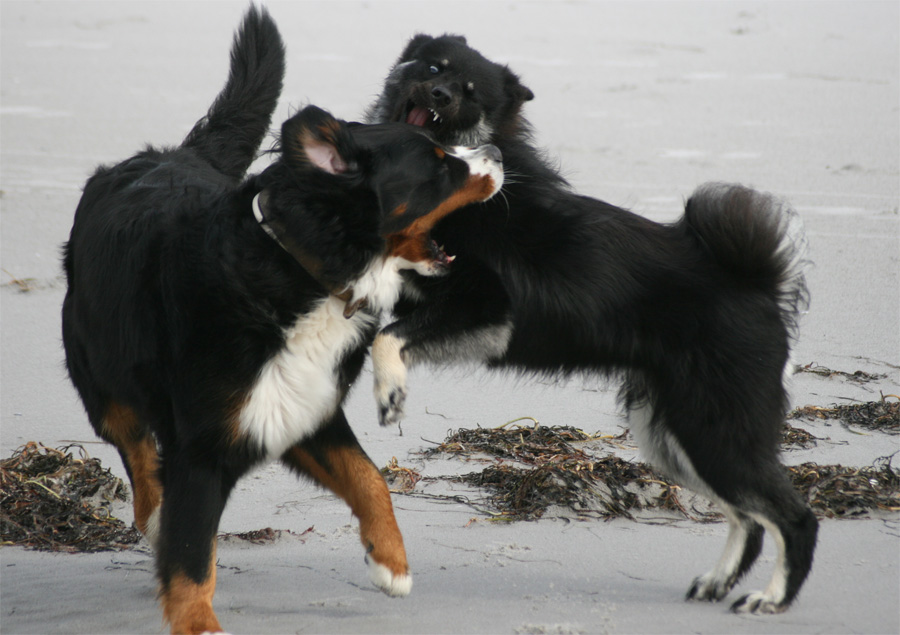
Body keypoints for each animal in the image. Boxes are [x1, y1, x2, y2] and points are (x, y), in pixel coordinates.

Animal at [60, 16, 502, 635]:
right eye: (440, 164)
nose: (495, 149)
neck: (304, 274)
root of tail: (166, 154)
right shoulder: (203, 446)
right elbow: (192, 557)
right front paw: (196, 621)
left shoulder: (300, 409)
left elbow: (370, 479)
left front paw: (390, 563)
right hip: (102, 380)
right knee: (137, 450)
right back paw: (154, 516)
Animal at [364, 32, 816, 612]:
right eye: (433, 67)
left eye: (470, 92)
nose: (439, 95)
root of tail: (758, 286)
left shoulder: (488, 308)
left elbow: (387, 338)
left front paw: (390, 394)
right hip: (674, 435)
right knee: (749, 517)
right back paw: (716, 584)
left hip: (714, 429)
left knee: (793, 517)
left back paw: (772, 600)